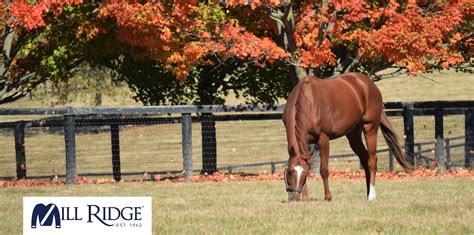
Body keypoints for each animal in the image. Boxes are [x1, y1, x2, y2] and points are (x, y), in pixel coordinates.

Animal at [284, 73, 412, 202]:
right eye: (290, 171)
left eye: (303, 173)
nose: (294, 197)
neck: (309, 100)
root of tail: (369, 84)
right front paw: (305, 198)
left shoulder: (323, 139)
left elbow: (324, 170)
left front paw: (328, 197)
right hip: (353, 135)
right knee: (365, 159)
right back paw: (367, 193)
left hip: (370, 128)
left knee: (372, 160)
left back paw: (371, 195)